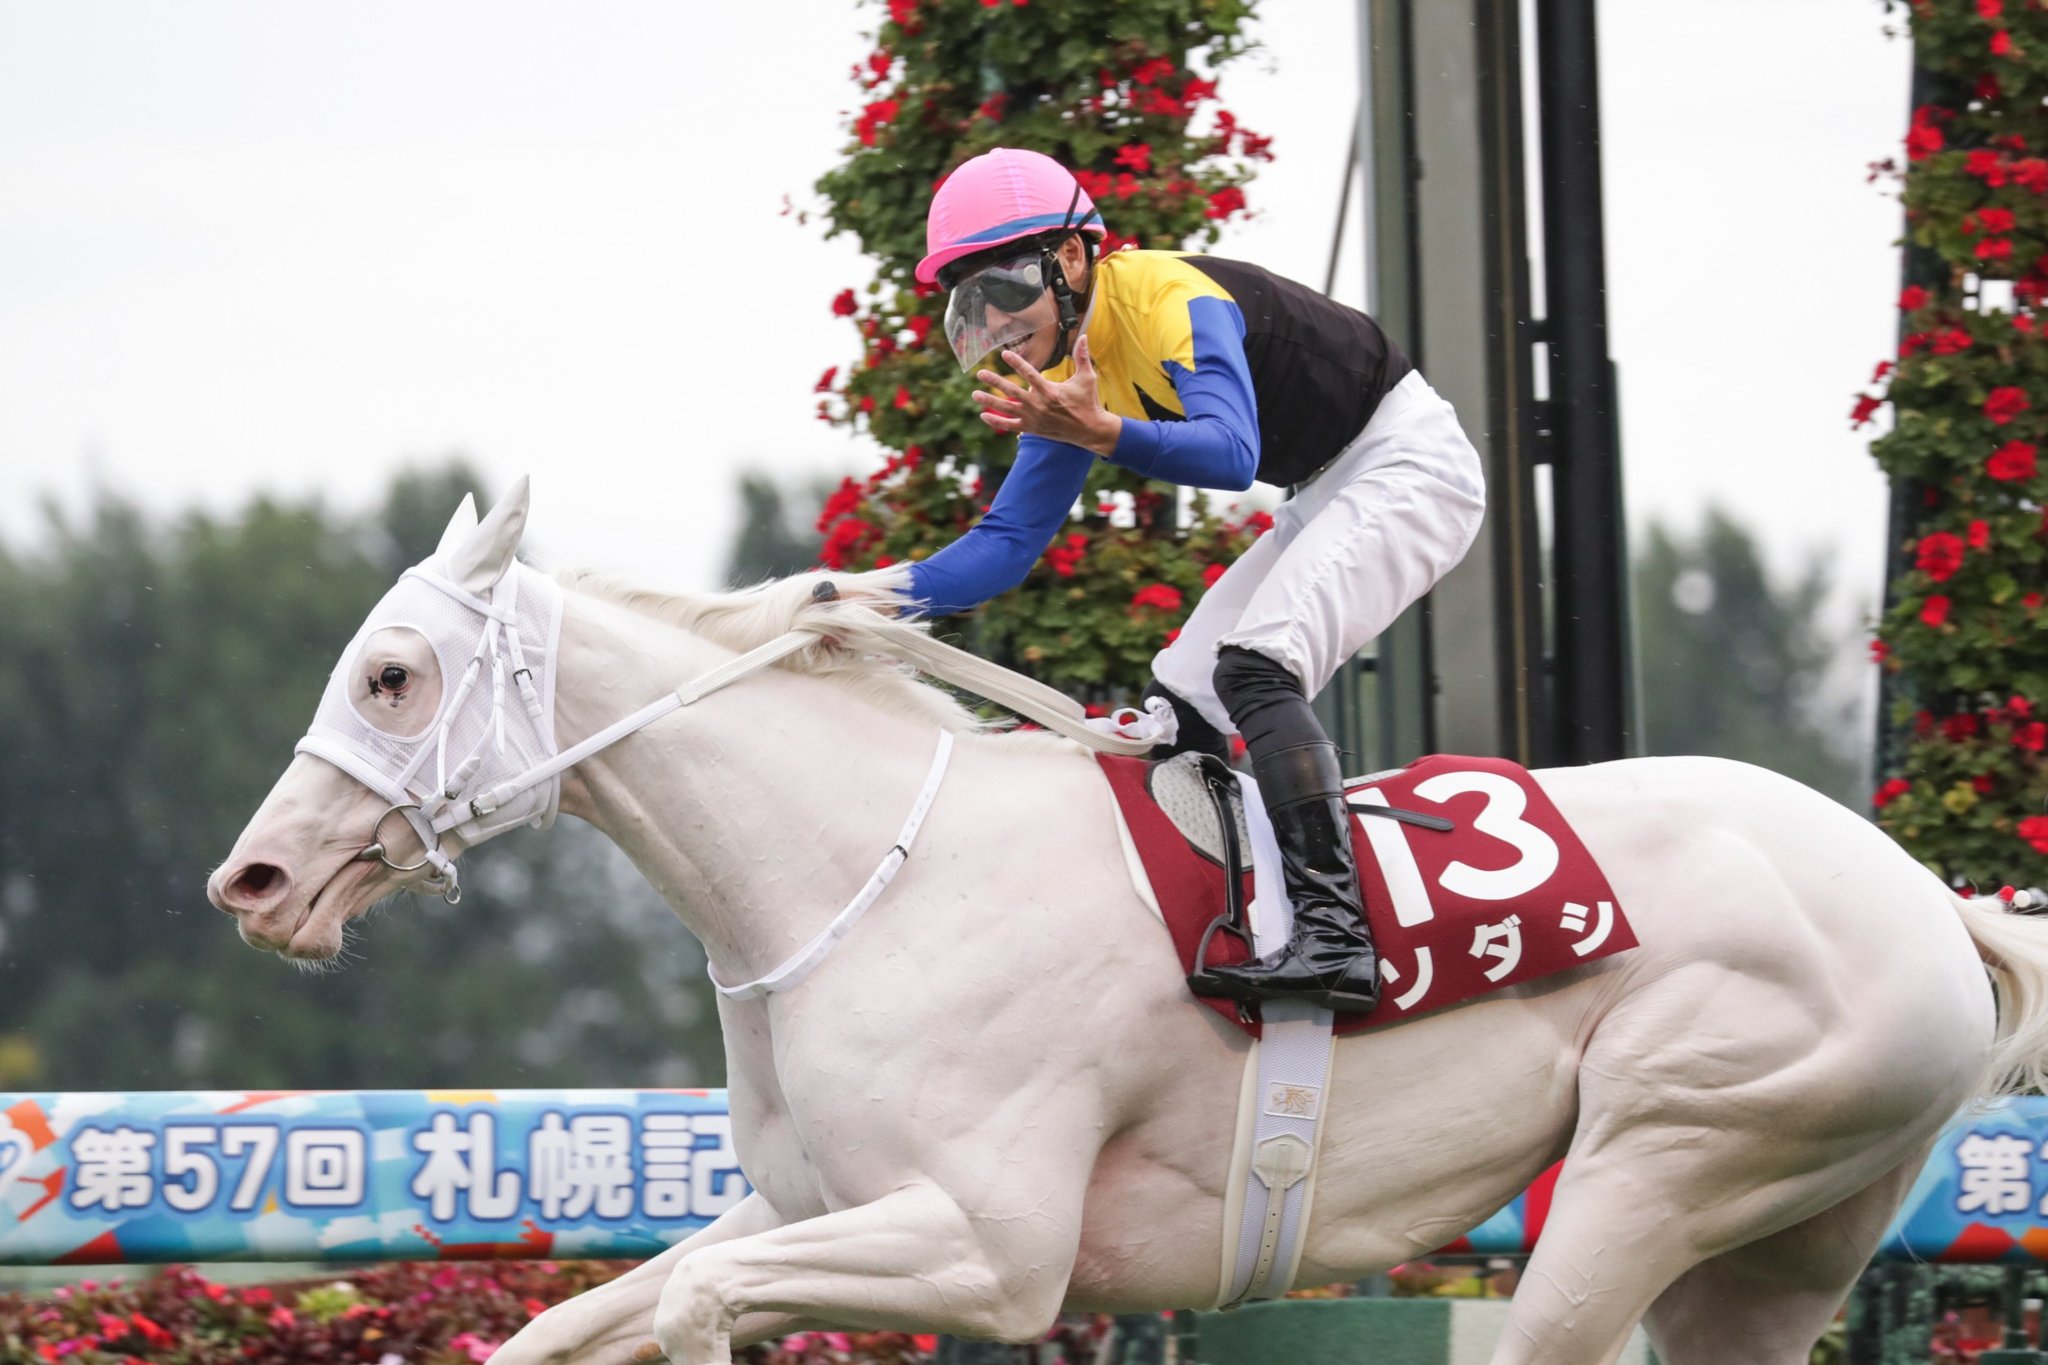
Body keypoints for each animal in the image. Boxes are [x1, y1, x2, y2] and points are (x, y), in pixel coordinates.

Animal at [209, 479, 2048, 1365]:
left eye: (392, 671)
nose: (257, 880)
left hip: (1669, 1153)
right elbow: (576, 1319)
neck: (865, 878)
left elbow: (690, 1307)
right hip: (1777, 1238)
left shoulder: (992, 1247)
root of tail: (1928, 899)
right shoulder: (813, 1203)